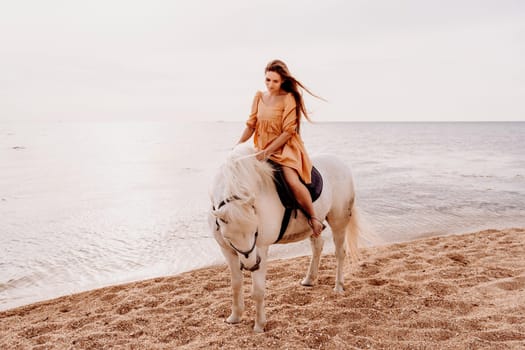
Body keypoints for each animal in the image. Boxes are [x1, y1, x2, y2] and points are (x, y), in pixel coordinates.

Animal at [208, 144, 360, 332]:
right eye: (228, 236)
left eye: (255, 231)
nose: (251, 265)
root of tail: (341, 163)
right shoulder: (227, 250)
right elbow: (235, 285)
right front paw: (234, 317)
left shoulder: (261, 248)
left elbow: (258, 291)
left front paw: (259, 326)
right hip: (313, 226)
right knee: (318, 246)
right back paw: (309, 279)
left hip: (339, 220)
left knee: (340, 252)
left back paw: (338, 286)